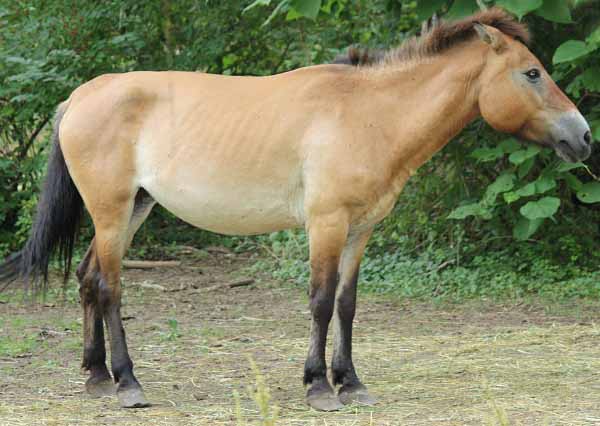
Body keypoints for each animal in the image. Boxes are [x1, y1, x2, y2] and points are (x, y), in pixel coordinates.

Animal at [0, 7, 592, 412]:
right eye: (533, 73)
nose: (584, 137)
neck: (370, 115)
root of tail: (80, 97)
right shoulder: (326, 224)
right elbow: (320, 302)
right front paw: (318, 386)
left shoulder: (361, 230)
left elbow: (347, 304)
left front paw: (350, 382)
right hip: (111, 210)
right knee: (108, 287)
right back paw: (127, 382)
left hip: (134, 210)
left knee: (86, 278)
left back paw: (96, 377)